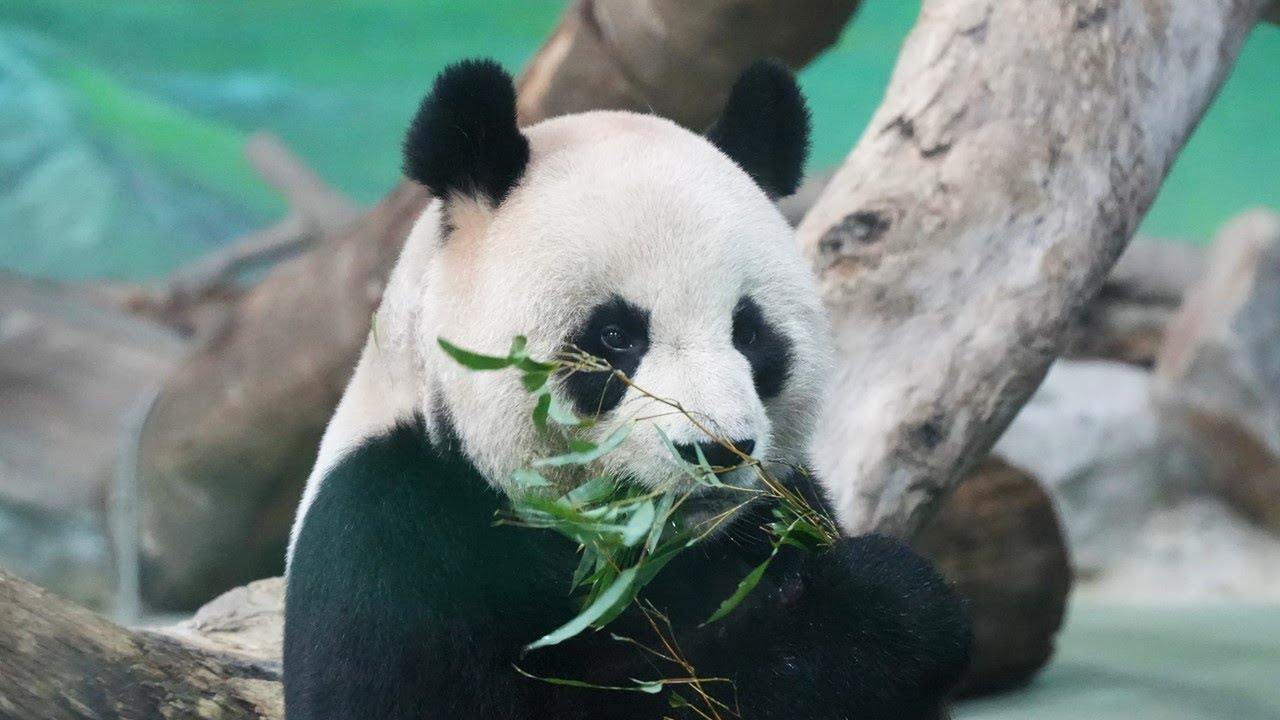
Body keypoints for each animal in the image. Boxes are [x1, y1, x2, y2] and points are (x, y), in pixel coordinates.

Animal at [284, 58, 971, 720]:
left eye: (749, 333)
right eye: (615, 336)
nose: (714, 451)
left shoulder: (778, 513)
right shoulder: (395, 539)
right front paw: (881, 606)